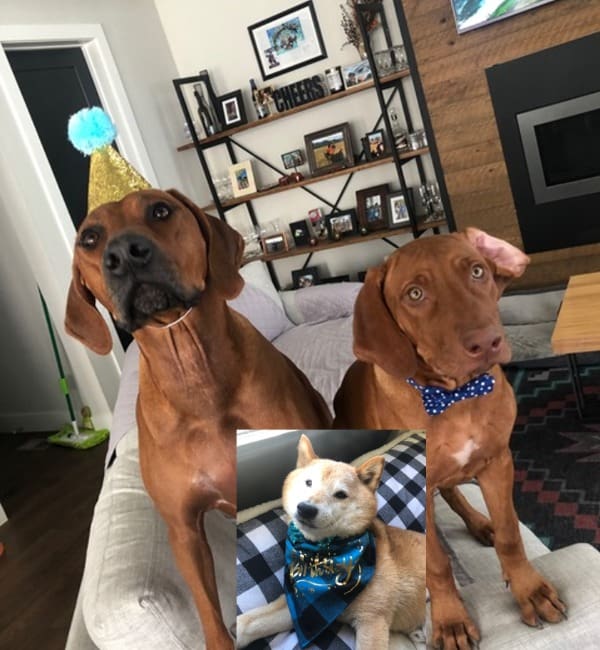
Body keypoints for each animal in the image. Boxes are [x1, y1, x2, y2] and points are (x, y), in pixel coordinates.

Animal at [64, 187, 332, 648]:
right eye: (90, 238)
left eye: (160, 210)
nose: (124, 254)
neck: (193, 370)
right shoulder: (183, 530)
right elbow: (209, 611)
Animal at [236, 430, 426, 648]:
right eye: (308, 482)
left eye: (341, 495)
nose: (306, 509)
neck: (323, 554)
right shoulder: (302, 605)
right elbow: (251, 622)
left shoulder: (372, 620)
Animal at [338, 228, 568, 644]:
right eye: (414, 294)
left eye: (477, 271)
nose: (487, 342)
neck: (455, 398)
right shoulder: (422, 484)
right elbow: (437, 563)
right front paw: (450, 620)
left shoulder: (497, 461)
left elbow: (510, 534)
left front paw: (529, 589)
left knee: (455, 493)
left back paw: (480, 523)